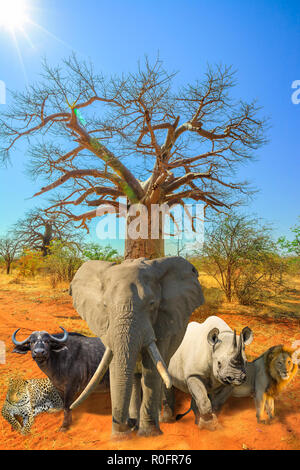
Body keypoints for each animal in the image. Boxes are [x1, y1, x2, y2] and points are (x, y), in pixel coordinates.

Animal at [68, 258, 204, 436]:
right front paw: (122, 434)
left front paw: (149, 434)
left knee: (162, 369)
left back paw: (163, 420)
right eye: (105, 305)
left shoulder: (162, 324)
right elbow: (115, 367)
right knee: (134, 377)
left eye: (152, 304)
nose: (122, 428)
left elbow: (152, 370)